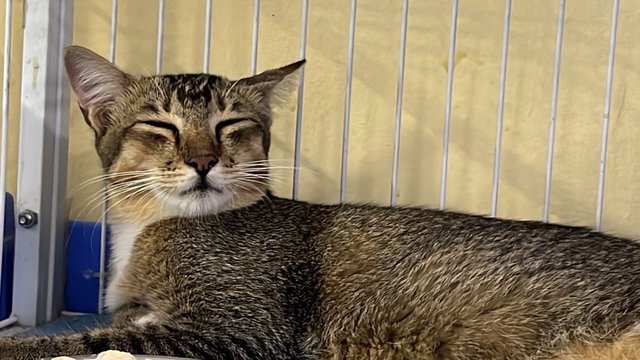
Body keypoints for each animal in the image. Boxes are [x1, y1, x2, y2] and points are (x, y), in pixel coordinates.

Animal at [1, 45, 640, 360]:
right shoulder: (154, 314)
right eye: (160, 127)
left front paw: (23, 347)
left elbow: (91, 340)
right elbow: (122, 321)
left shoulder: (244, 329)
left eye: (230, 125)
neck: (151, 227)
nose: (204, 160)